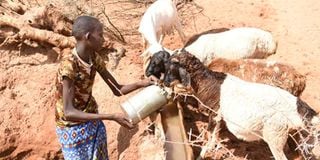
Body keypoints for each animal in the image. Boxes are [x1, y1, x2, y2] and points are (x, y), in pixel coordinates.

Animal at [162, 51, 320, 160]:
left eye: (171, 69)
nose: (164, 83)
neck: (209, 82)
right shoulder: (219, 116)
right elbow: (214, 134)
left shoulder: (214, 114)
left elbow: (209, 135)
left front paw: (203, 154)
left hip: (275, 135)